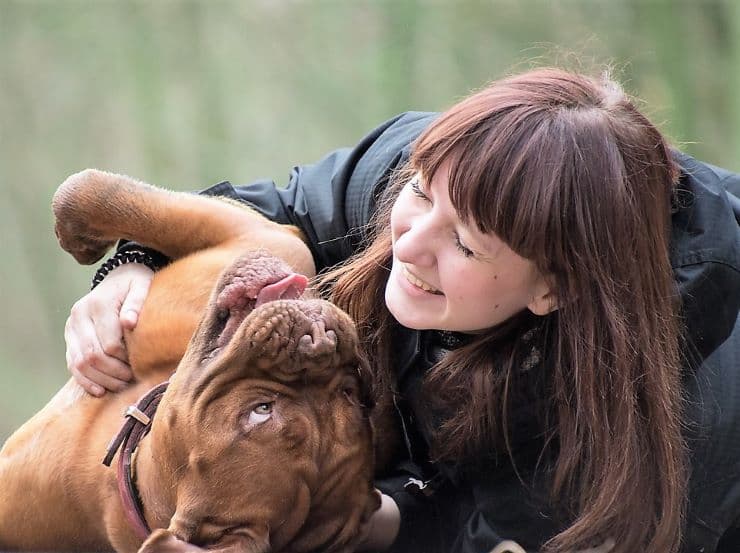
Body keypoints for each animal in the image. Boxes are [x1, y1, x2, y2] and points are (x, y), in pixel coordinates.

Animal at [0, 170, 378, 548]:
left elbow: (87, 189)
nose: (318, 344)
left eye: (260, 411)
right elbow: (92, 193)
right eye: (350, 395)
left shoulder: (259, 232)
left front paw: (79, 241)